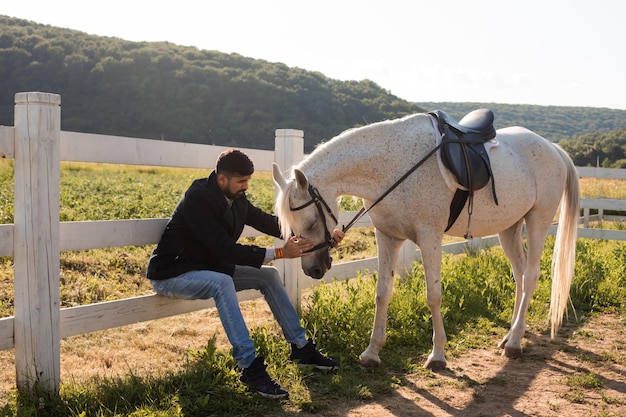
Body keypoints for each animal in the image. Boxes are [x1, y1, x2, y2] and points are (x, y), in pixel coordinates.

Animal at [270, 109, 576, 368]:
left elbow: (433, 296)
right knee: (520, 275)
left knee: (532, 275)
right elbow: (382, 294)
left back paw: (514, 343)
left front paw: (438, 355)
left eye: (311, 222)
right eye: (289, 228)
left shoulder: (430, 238)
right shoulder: (388, 237)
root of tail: (554, 148)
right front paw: (372, 352)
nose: (312, 269)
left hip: (538, 219)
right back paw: (510, 335)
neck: (393, 166)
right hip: (509, 228)